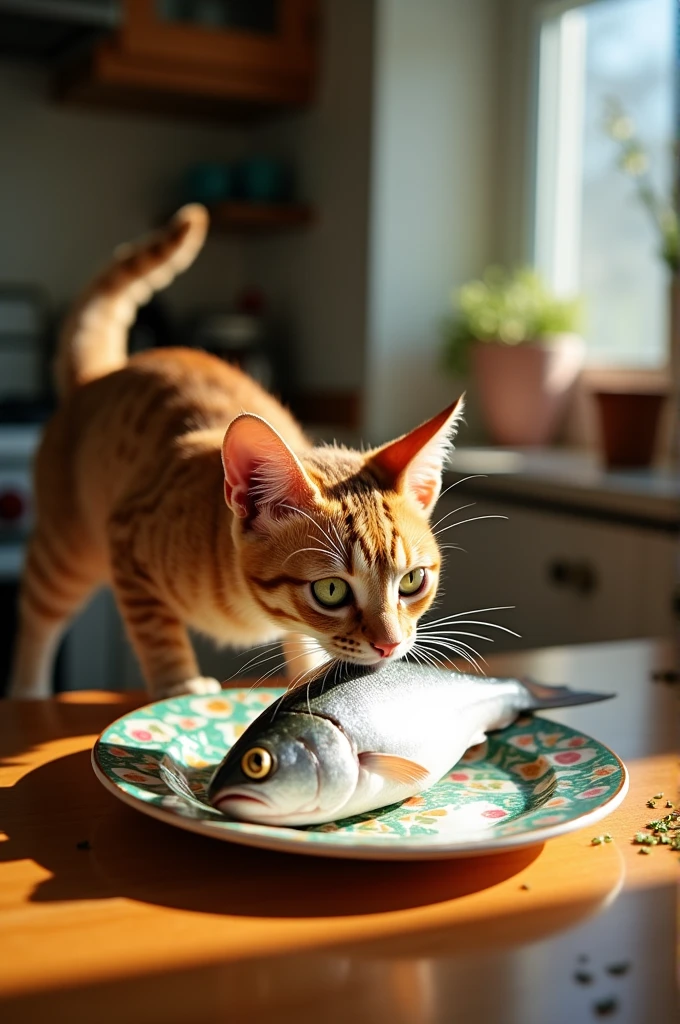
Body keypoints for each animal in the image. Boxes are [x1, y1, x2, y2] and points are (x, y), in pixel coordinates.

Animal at [7, 203, 464, 700]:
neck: (250, 609)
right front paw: (180, 688)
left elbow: (303, 644)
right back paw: (28, 692)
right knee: (37, 615)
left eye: (412, 581)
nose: (390, 645)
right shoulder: (127, 543)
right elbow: (158, 637)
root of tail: (99, 377)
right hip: (67, 554)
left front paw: (305, 674)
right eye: (331, 591)